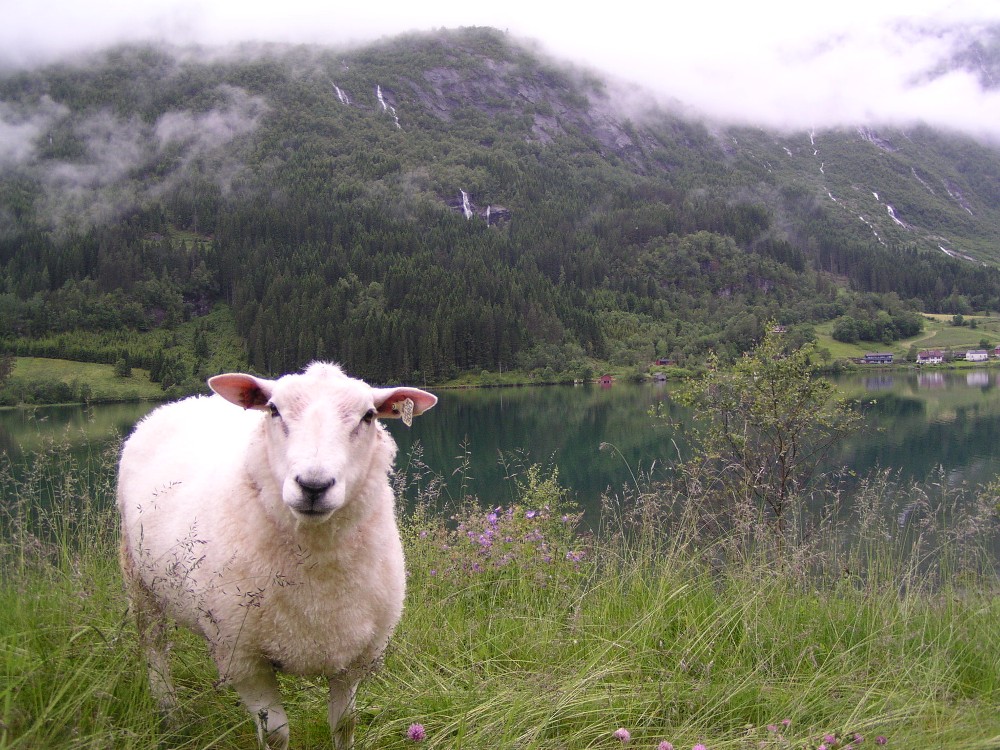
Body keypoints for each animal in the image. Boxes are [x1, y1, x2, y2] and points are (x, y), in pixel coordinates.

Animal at [115, 362, 436, 748]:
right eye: (273, 410)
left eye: (369, 416)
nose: (313, 485)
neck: (317, 571)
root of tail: (180, 402)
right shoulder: (244, 659)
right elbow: (275, 733)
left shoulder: (356, 656)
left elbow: (345, 724)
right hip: (138, 579)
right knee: (154, 648)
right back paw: (171, 715)